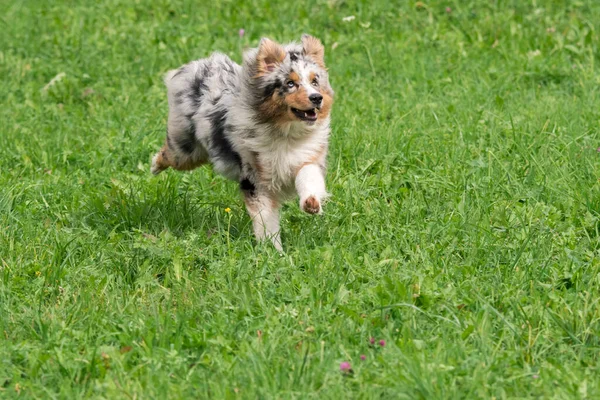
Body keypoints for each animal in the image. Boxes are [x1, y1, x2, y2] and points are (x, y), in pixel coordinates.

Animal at [151, 34, 332, 250]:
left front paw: (311, 204)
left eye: (315, 81)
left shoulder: (306, 158)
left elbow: (308, 178)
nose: (317, 98)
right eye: (290, 83)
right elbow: (266, 220)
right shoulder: (255, 181)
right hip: (186, 152)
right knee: (168, 154)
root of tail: (199, 67)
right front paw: (272, 250)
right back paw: (154, 166)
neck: (285, 134)